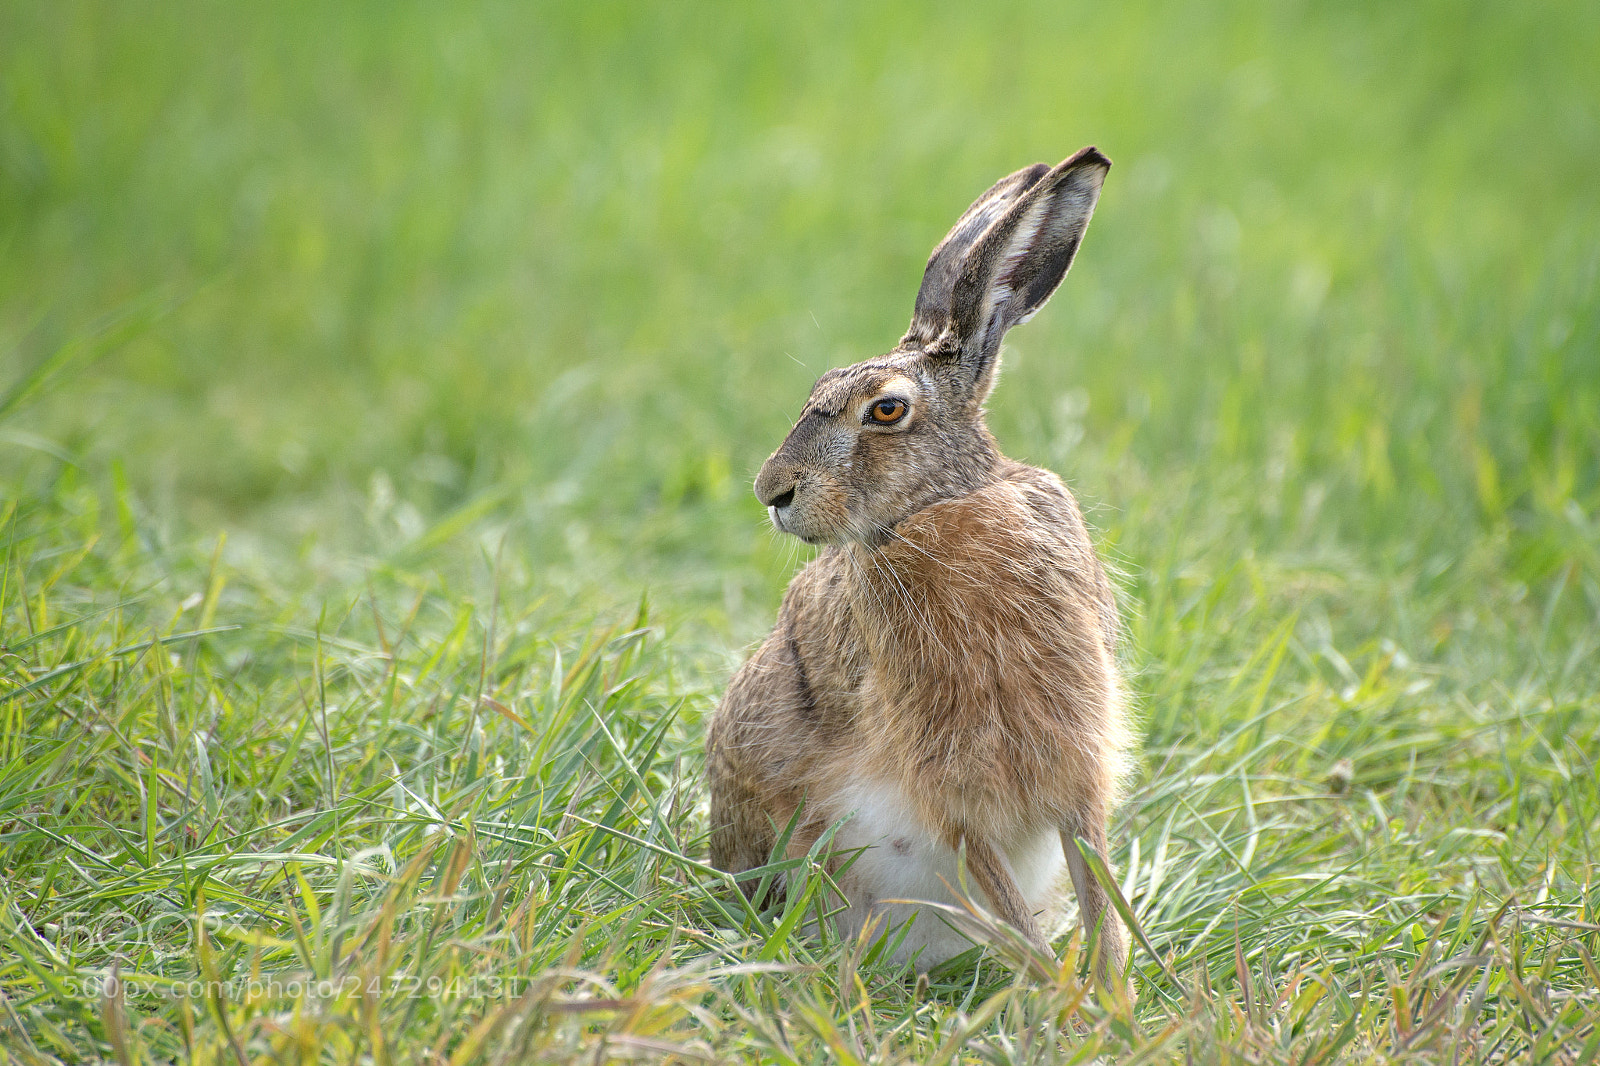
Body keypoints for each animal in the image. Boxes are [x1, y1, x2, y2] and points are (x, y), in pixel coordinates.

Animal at [706, 147, 1132, 984]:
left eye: (886, 410)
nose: (772, 492)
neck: (942, 507)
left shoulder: (1073, 760)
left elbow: (1093, 873)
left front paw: (1108, 994)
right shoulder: (949, 777)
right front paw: (1065, 996)